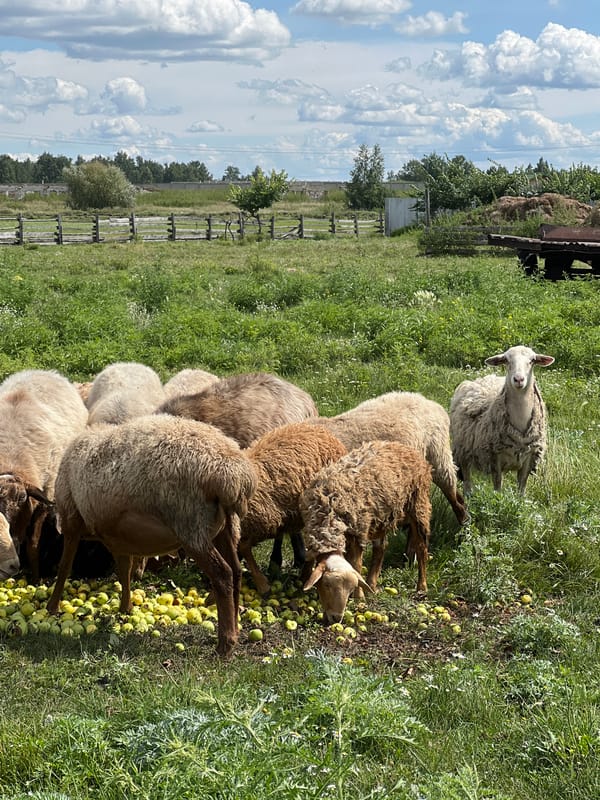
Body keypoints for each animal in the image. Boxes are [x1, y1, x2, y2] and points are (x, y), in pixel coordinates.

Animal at [46, 414, 259, 657]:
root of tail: (234, 476)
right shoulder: (118, 537)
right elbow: (124, 570)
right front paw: (125, 607)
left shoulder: (71, 520)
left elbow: (64, 567)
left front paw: (52, 606)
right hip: (226, 527)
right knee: (236, 571)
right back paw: (235, 627)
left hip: (191, 525)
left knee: (222, 574)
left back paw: (225, 643)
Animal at [301, 441, 432, 624]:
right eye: (326, 585)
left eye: (350, 588)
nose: (336, 618)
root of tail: (403, 447)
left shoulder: (358, 532)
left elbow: (356, 564)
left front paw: (359, 597)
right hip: (381, 517)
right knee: (381, 548)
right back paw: (372, 584)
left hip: (418, 504)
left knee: (421, 548)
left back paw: (421, 587)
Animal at [449, 345, 555, 494]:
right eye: (506, 360)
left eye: (532, 360)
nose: (518, 379)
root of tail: (482, 379)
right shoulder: (495, 457)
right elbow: (498, 486)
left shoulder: (529, 457)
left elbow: (522, 487)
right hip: (463, 449)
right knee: (467, 478)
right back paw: (468, 496)